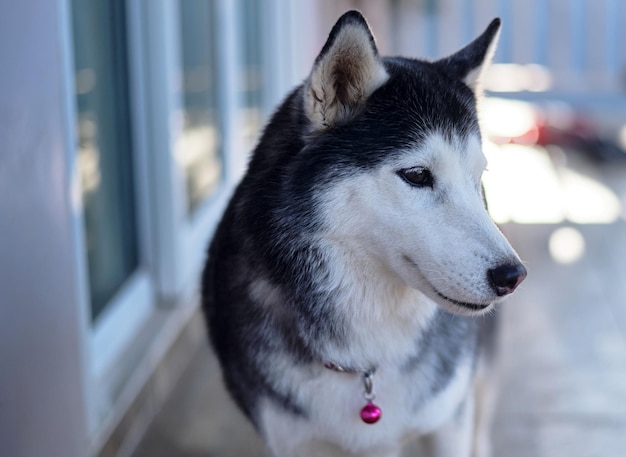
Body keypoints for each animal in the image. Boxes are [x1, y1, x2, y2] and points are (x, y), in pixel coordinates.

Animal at [202, 10, 524, 456]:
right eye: (417, 175)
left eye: (477, 178)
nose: (513, 276)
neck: (367, 361)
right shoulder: (290, 440)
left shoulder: (448, 421)